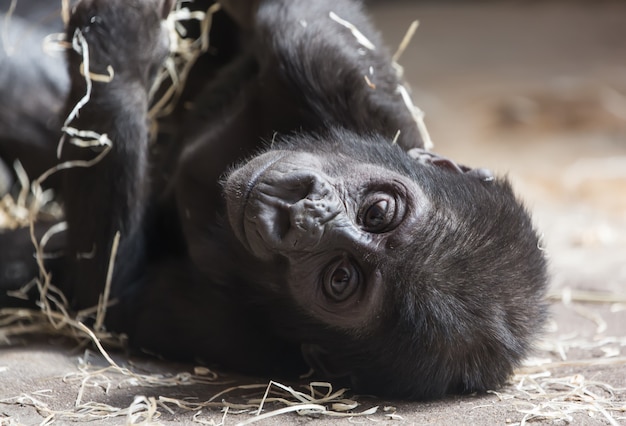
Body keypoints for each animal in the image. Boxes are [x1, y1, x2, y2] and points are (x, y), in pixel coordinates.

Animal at [0, 0, 544, 400]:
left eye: (340, 279)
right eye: (379, 211)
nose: (304, 214)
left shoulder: (214, 325)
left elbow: (103, 288)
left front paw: (122, 52)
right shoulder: (349, 79)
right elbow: (298, 23)